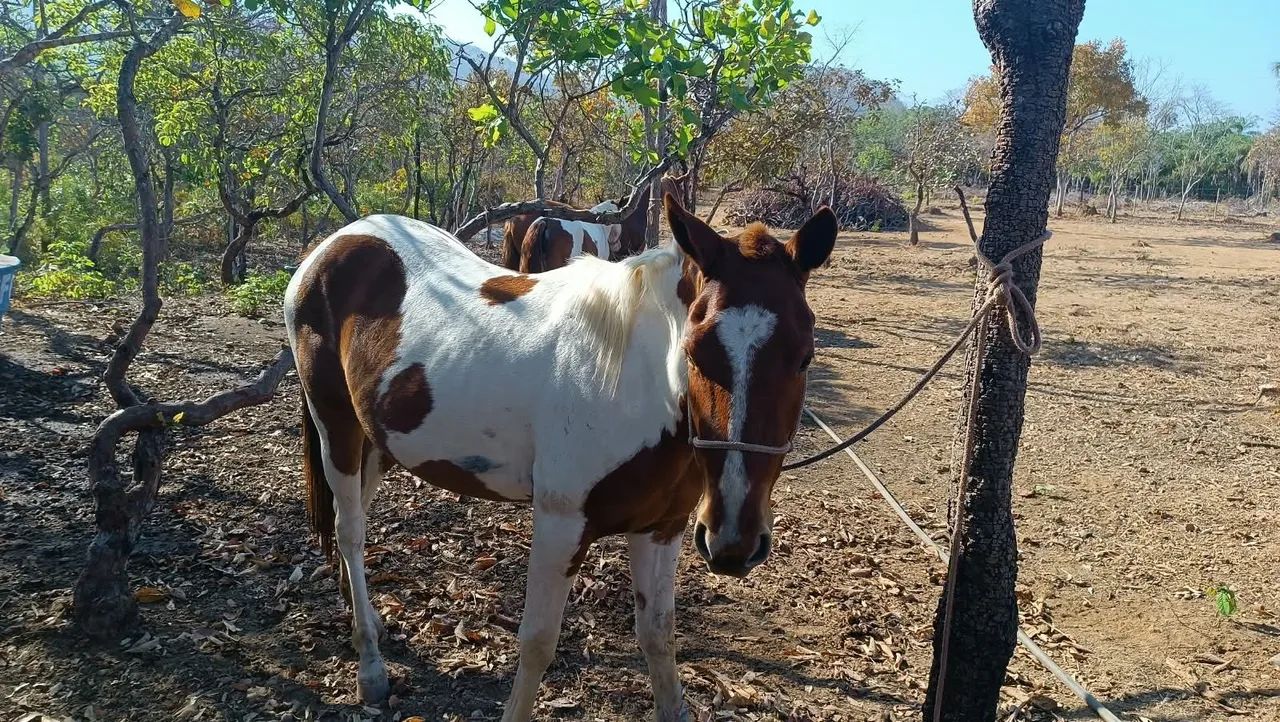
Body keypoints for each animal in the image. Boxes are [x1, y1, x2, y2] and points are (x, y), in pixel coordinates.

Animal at [283, 194, 835, 721]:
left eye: (804, 356)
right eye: (696, 351)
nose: (733, 543)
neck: (634, 381)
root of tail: (336, 244)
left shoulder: (663, 527)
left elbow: (658, 634)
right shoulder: (560, 525)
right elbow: (537, 643)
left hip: (378, 441)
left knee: (352, 519)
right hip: (337, 427)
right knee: (351, 532)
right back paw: (370, 666)